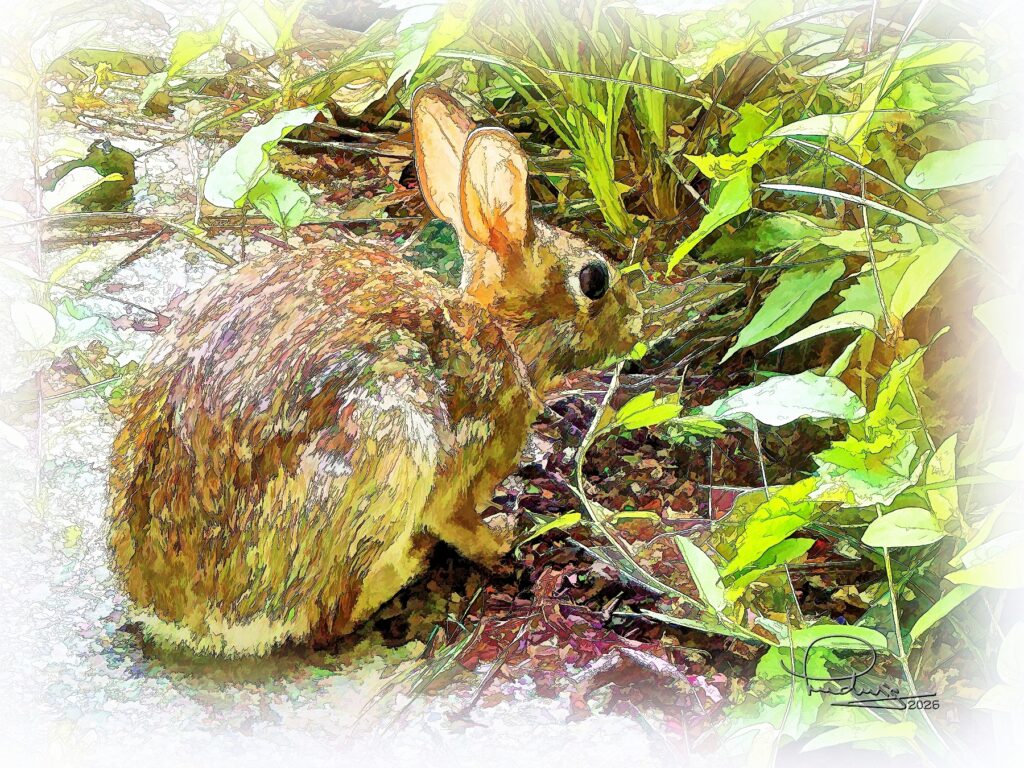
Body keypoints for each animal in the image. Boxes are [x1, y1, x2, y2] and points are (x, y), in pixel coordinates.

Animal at [107, 85, 643, 657]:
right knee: (331, 617)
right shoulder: (460, 471)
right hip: (388, 446)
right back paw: (409, 565)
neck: (503, 331)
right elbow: (459, 521)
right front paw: (501, 536)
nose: (637, 321)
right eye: (593, 280)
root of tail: (177, 611)